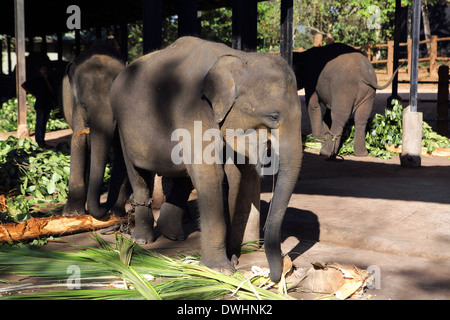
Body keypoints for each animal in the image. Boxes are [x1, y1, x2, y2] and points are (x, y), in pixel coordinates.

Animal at [61, 43, 129, 219]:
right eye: (85, 106)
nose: (104, 208)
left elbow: (122, 151)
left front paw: (116, 212)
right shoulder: (76, 107)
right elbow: (78, 142)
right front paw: (72, 214)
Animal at [110, 37, 304, 282]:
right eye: (273, 116)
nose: (274, 276)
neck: (238, 57)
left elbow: (234, 176)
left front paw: (233, 259)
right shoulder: (193, 111)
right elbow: (211, 176)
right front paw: (221, 270)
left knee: (183, 176)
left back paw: (173, 236)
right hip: (123, 127)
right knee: (139, 176)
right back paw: (142, 240)